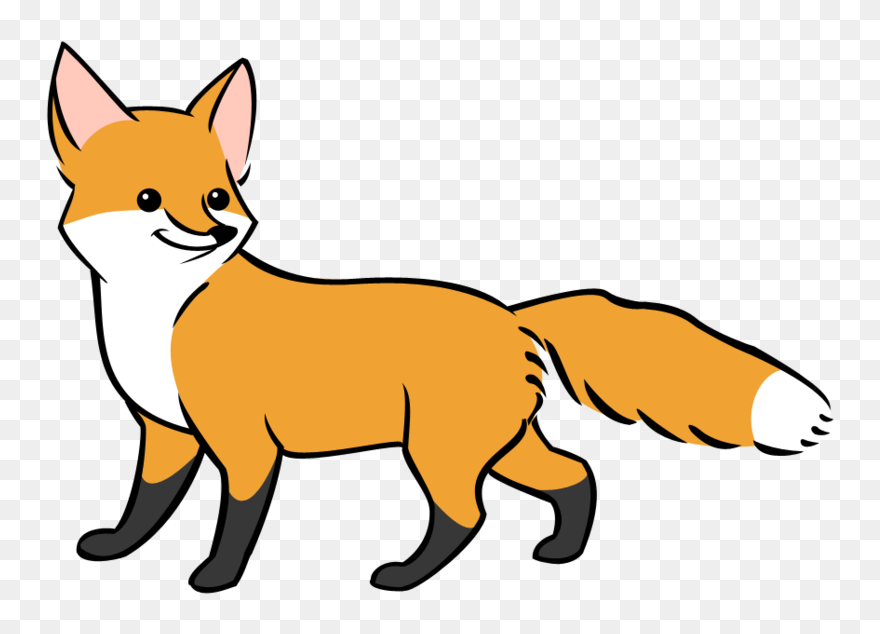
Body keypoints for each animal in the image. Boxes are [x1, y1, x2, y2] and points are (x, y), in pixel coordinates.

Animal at [48, 43, 834, 593]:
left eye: (217, 195)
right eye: (149, 198)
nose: (214, 232)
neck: (158, 315)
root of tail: (510, 316)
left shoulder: (242, 444)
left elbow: (233, 522)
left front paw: (214, 581)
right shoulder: (166, 434)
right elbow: (145, 507)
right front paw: (114, 549)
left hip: (439, 450)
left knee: (468, 515)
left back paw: (403, 577)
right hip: (498, 444)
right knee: (574, 475)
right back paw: (559, 554)